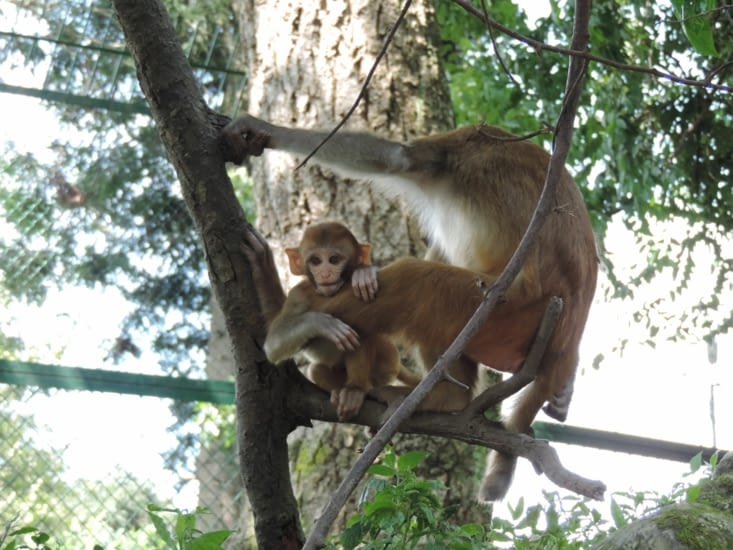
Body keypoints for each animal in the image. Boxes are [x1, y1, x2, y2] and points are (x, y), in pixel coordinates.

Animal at [265, 221, 421, 420]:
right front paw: (323, 323)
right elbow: (273, 345)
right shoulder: (296, 296)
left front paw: (364, 273)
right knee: (316, 370)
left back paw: (355, 390)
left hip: (386, 362)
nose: (325, 273)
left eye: (334, 260)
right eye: (316, 261)